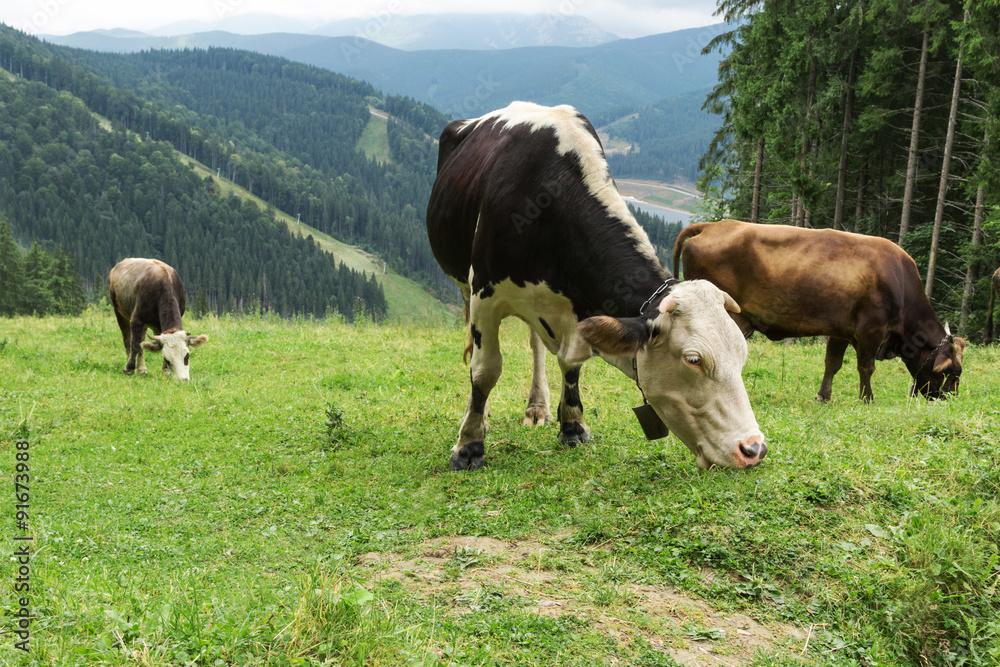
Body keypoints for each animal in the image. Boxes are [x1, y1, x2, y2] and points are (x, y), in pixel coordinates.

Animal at [426, 102, 765, 471]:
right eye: (693, 360)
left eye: (742, 352)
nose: (753, 448)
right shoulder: (484, 294)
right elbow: (486, 369)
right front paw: (469, 445)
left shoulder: (576, 312)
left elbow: (571, 364)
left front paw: (572, 426)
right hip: (462, 283)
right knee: (481, 357)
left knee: (536, 345)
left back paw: (538, 407)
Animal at [672, 220, 965, 402]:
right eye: (952, 372)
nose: (949, 399)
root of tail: (712, 226)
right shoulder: (870, 330)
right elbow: (866, 367)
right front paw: (867, 399)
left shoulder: (841, 330)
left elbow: (832, 363)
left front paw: (824, 396)